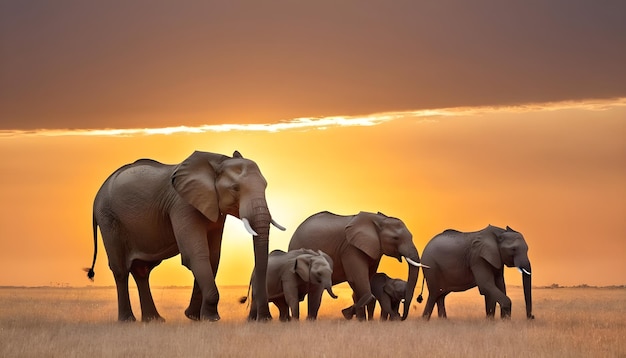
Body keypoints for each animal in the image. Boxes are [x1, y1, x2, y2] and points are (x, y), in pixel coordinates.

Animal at [86, 150, 284, 324]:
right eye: (235, 189)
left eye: (265, 186)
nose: (265, 318)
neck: (218, 161)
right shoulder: (182, 204)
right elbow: (196, 254)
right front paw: (211, 319)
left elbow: (213, 257)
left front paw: (194, 317)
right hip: (108, 219)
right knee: (120, 270)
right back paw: (128, 320)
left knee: (142, 270)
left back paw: (154, 320)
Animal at [286, 211, 424, 320]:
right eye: (395, 238)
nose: (401, 317)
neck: (377, 219)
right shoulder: (350, 248)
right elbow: (357, 279)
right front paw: (353, 316)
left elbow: (366, 279)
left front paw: (360, 320)